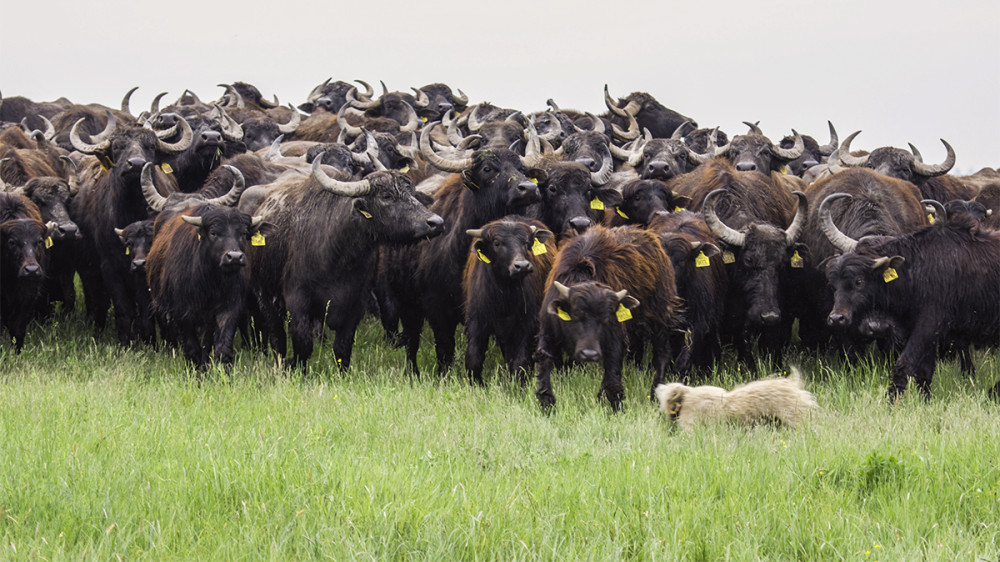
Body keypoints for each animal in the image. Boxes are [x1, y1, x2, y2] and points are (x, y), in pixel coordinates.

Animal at [460, 215, 556, 384]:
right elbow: (473, 357)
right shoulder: (476, 320)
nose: (522, 266)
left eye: (526, 242)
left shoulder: (527, 324)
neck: (504, 296)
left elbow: (520, 361)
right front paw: (476, 383)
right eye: (497, 243)